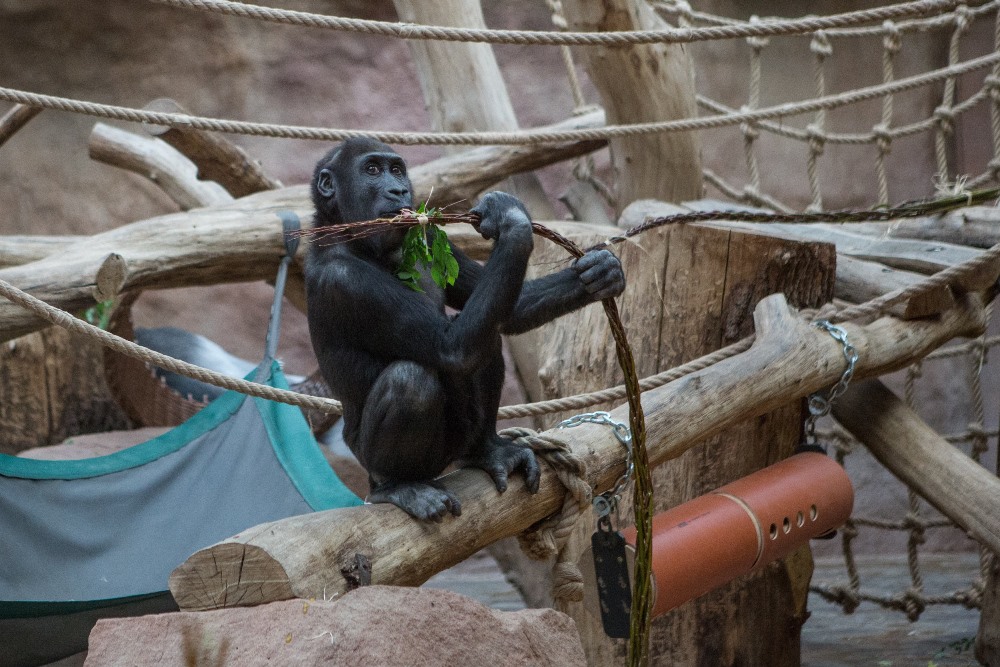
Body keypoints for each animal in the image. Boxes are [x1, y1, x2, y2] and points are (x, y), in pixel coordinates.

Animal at [304, 136, 624, 520]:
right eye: (371, 170)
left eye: (396, 170)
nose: (398, 189)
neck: (355, 240)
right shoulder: (345, 280)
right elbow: (452, 348)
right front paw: (511, 219)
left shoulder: (426, 234)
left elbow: (508, 313)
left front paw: (600, 272)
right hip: (394, 464)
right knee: (412, 379)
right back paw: (397, 485)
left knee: (488, 335)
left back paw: (488, 450)